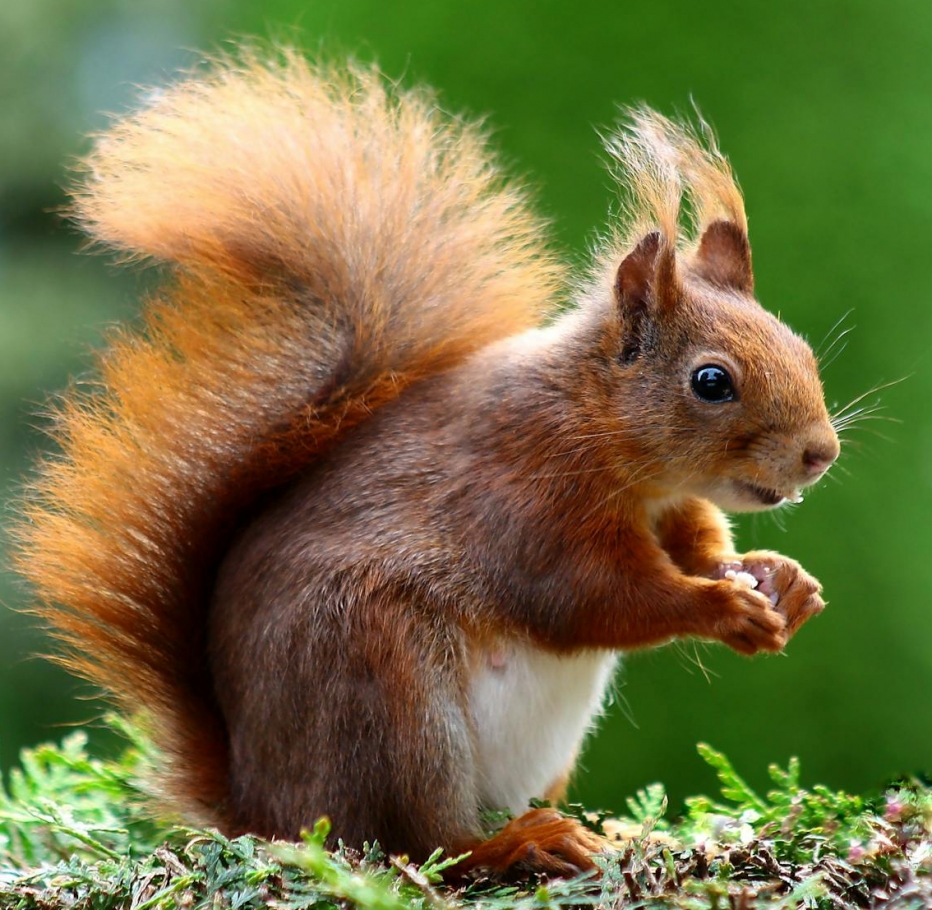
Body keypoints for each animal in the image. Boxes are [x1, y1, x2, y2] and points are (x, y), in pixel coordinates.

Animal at [14, 50, 836, 876]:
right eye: (711, 382)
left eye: (799, 348)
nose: (820, 453)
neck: (605, 435)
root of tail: (261, 807)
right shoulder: (525, 498)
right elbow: (594, 599)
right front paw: (722, 608)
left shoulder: (672, 505)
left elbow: (698, 545)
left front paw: (779, 580)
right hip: (388, 692)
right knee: (419, 840)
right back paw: (519, 843)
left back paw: (616, 834)